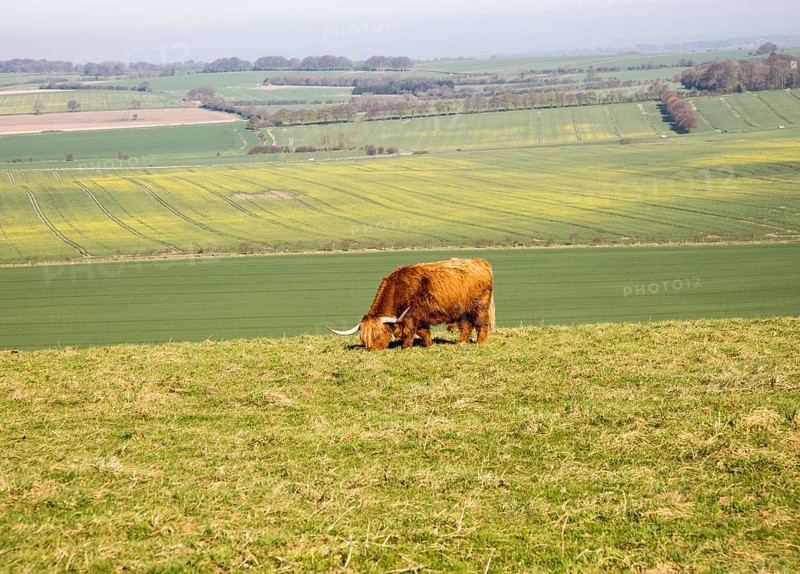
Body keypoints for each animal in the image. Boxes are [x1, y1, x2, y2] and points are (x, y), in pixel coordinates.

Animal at [326, 258, 495, 350]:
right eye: (364, 339)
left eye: (378, 334)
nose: (373, 349)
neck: (397, 290)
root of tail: (481, 262)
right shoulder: (419, 317)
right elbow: (423, 331)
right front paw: (428, 344)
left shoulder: (411, 315)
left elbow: (409, 331)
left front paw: (405, 347)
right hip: (463, 310)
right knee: (466, 324)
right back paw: (461, 342)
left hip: (479, 305)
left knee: (481, 324)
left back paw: (480, 343)